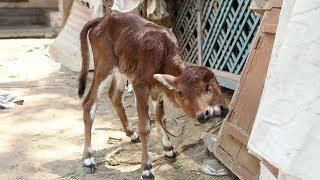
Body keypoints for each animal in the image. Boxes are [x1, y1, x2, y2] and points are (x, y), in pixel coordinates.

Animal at [78, 12, 228, 179]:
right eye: (180, 92)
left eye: (207, 87)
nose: (204, 114)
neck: (162, 54)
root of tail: (103, 19)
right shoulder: (140, 86)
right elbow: (145, 127)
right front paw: (147, 168)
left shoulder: (158, 90)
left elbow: (160, 118)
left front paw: (168, 149)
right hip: (104, 66)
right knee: (88, 104)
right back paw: (88, 159)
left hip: (121, 69)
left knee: (114, 95)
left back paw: (131, 134)